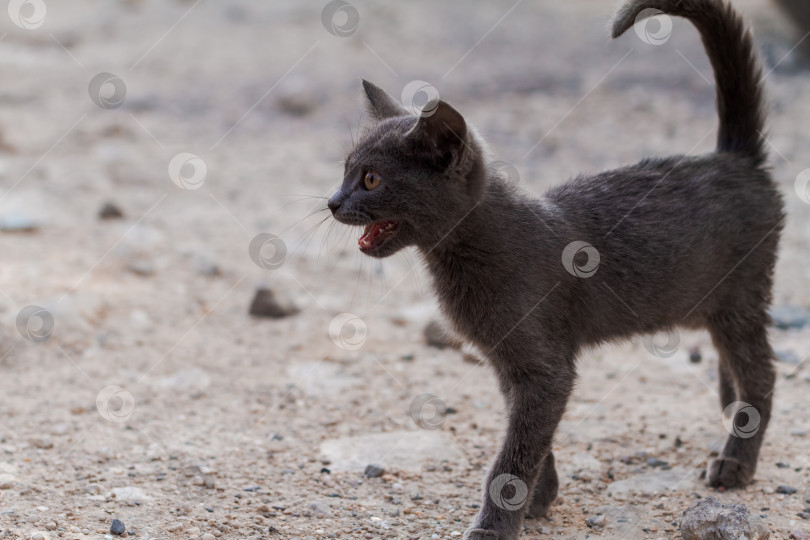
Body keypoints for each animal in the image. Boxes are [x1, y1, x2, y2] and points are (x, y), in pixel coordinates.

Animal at [326, 0, 780, 536]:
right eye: (345, 171)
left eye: (371, 179)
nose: (332, 202)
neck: (466, 257)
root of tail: (735, 158)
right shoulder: (511, 364)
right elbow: (530, 438)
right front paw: (541, 495)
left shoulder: (544, 367)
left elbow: (516, 450)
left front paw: (497, 522)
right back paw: (729, 417)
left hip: (742, 298)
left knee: (762, 375)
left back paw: (736, 461)